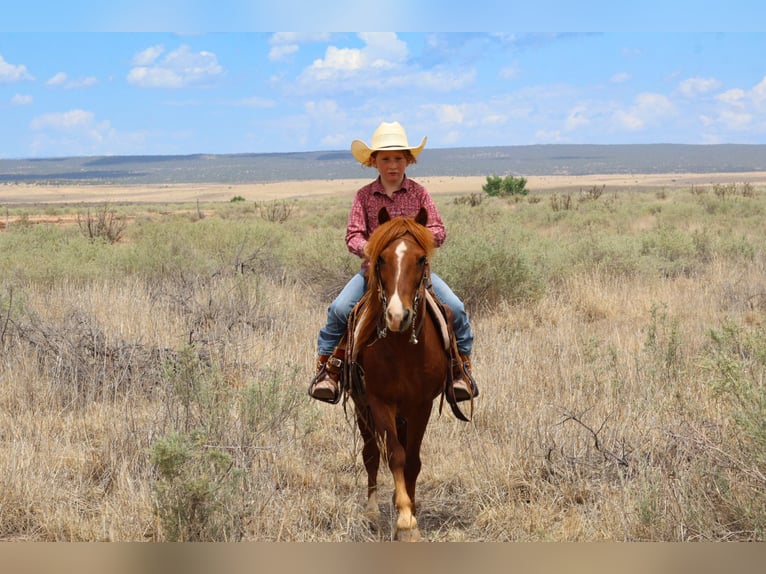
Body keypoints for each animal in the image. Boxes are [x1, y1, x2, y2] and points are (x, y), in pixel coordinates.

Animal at [345, 206, 454, 542]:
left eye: (420, 259)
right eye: (380, 259)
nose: (396, 316)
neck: (403, 347)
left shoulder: (421, 405)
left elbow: (413, 461)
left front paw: (411, 512)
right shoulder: (380, 403)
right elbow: (394, 455)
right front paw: (405, 521)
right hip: (362, 406)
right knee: (370, 453)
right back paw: (372, 511)